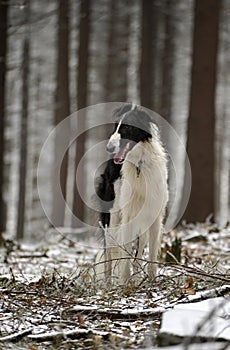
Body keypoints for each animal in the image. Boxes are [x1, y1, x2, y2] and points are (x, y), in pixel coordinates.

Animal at [94, 104, 168, 284]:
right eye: (115, 126)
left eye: (127, 127)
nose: (109, 148)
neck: (138, 165)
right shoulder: (126, 214)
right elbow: (124, 254)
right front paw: (124, 282)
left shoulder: (154, 215)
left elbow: (151, 253)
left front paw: (151, 280)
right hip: (112, 216)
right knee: (109, 252)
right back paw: (109, 282)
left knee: (138, 252)